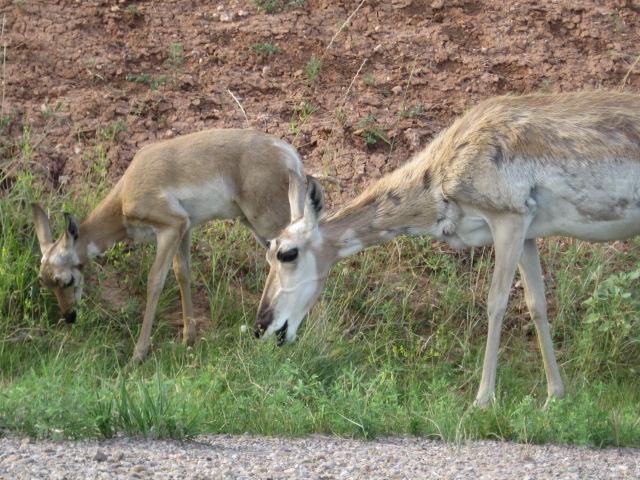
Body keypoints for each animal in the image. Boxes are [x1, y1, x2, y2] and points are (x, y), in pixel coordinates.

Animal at [33, 129, 310, 362]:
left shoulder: (169, 228)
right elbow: (182, 273)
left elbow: (155, 280)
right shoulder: (184, 229)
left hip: (269, 224)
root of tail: (289, 154)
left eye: (66, 280)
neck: (125, 195)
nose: (69, 316)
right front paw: (189, 338)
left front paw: (138, 354)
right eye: (45, 282)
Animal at [255, 90, 640, 404]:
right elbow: (537, 304)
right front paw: (554, 397)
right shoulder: (529, 232)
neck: (440, 176)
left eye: (287, 253)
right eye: (268, 251)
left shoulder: (508, 219)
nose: (262, 325)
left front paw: (482, 400)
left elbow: (496, 303)